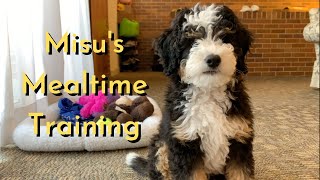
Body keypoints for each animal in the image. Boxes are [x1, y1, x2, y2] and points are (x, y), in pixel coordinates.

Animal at [126, 3, 254, 180]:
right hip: (162, 146)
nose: (213, 59)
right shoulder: (184, 142)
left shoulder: (239, 139)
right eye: (192, 41)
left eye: (225, 38)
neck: (208, 93)